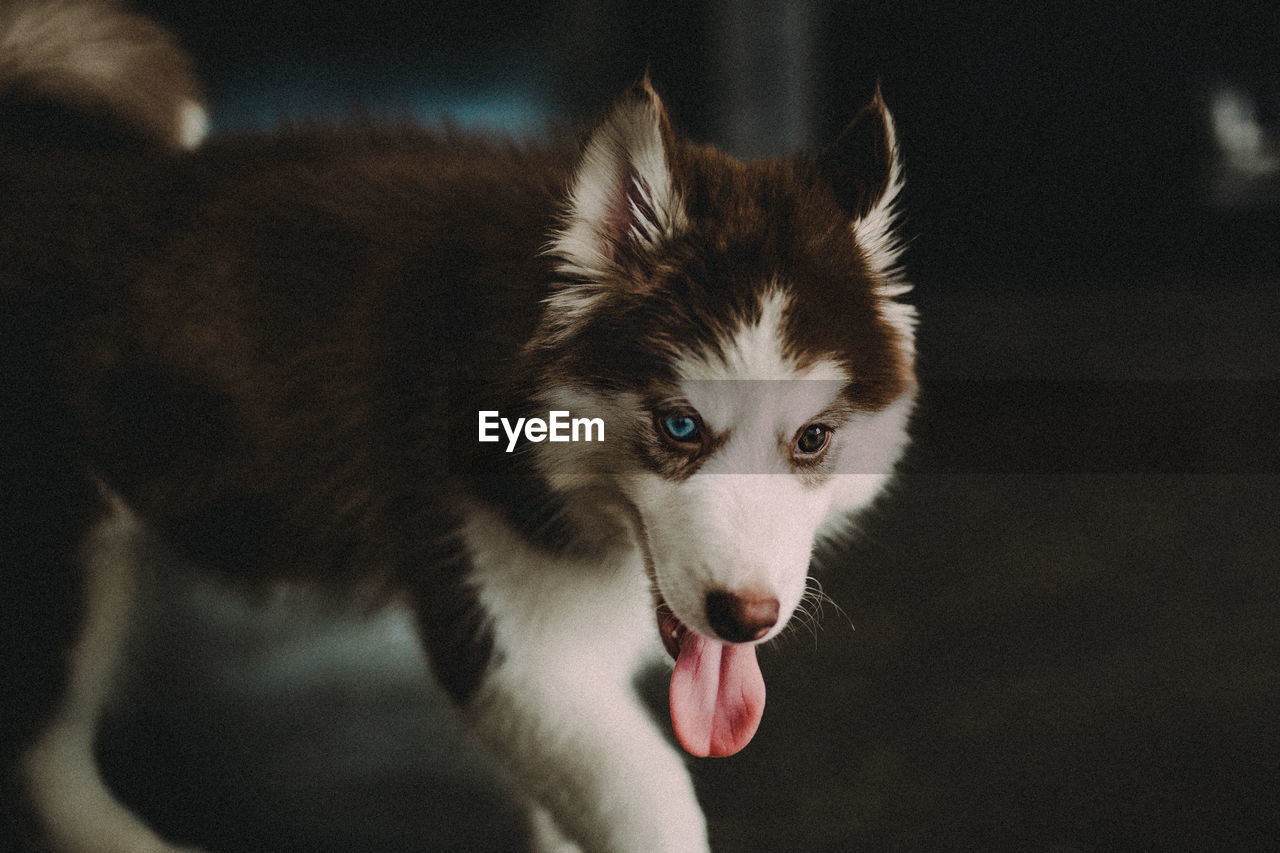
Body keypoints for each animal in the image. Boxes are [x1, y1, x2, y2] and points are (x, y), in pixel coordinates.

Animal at [2, 3, 921, 845]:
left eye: (812, 438)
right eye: (680, 427)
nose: (746, 619)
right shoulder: (509, 649)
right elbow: (650, 799)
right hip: (63, 560)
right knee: (44, 750)